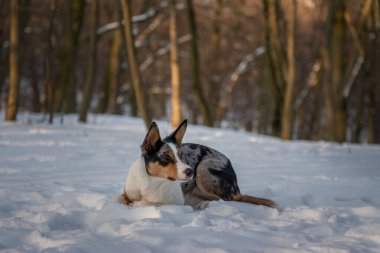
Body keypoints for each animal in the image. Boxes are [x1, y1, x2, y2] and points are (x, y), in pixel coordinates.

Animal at [122, 119, 276, 210]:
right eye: (166, 157)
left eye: (181, 155)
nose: (190, 172)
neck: (152, 182)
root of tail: (236, 189)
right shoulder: (127, 194)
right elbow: (125, 199)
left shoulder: (176, 202)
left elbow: (148, 203)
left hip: (204, 168)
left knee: (223, 199)